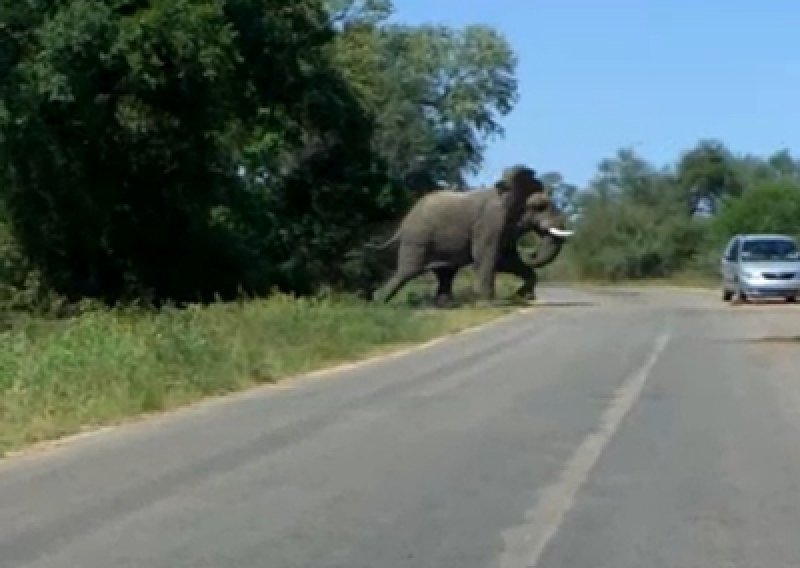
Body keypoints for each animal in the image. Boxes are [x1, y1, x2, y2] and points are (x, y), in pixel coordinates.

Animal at [372, 164, 572, 304]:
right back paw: (378, 303)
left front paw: (523, 297)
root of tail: (404, 222)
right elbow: (487, 257)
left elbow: (506, 260)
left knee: (445, 272)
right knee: (408, 271)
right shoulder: (489, 223)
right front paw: (488, 305)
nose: (531, 253)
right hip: (418, 238)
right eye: (539, 207)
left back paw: (445, 305)